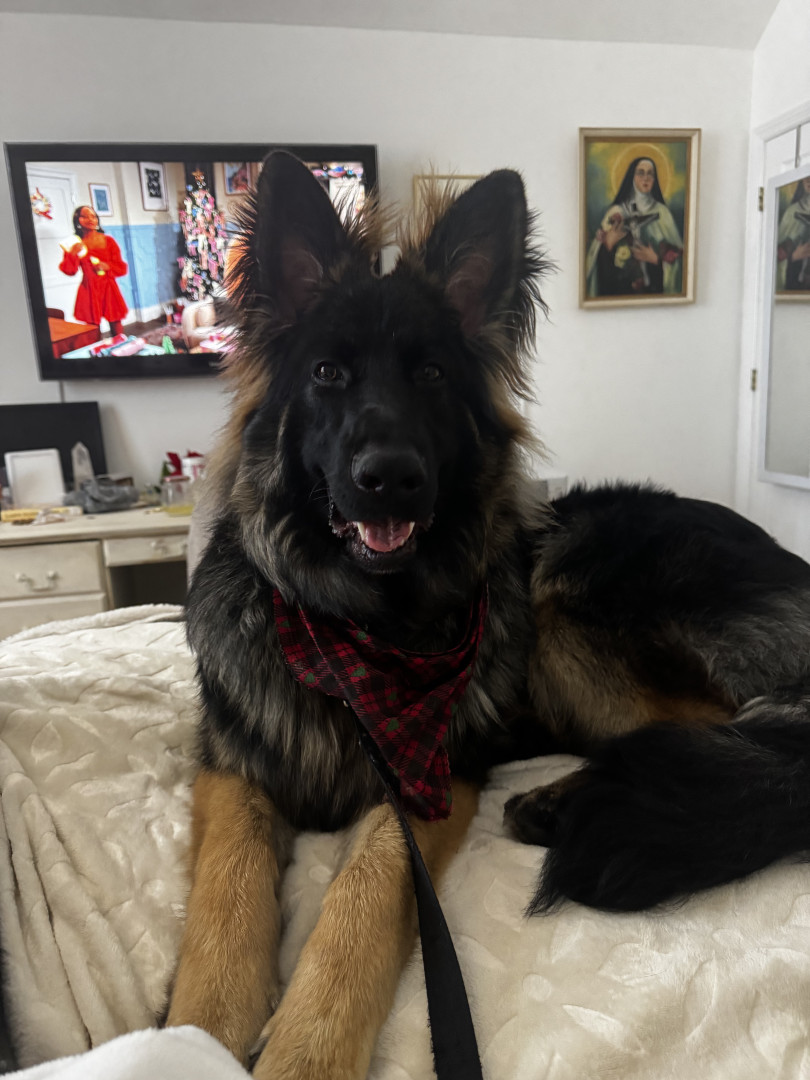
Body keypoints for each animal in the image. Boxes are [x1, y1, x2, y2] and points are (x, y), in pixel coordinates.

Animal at [166, 152, 810, 1079]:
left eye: (432, 375)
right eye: (328, 374)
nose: (390, 478)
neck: (359, 625)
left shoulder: (429, 787)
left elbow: (363, 900)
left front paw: (306, 1049)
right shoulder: (233, 766)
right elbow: (224, 901)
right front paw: (188, 1040)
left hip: (564, 594)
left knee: (722, 733)